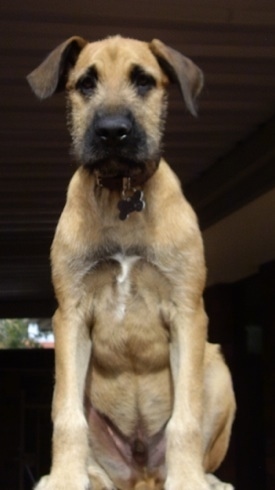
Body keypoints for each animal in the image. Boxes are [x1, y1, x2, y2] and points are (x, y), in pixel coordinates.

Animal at [27, 35, 236, 490]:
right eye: (86, 84)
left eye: (143, 81)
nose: (112, 133)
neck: (121, 189)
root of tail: (142, 474)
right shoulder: (69, 316)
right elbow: (66, 417)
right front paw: (65, 478)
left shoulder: (187, 313)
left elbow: (185, 420)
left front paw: (188, 480)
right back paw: (86, 476)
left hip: (216, 367)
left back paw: (206, 478)